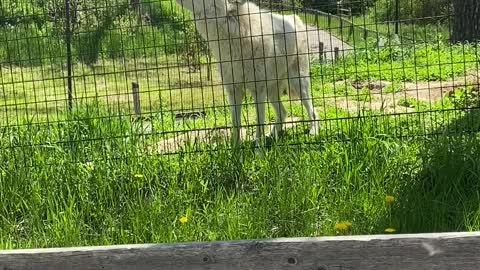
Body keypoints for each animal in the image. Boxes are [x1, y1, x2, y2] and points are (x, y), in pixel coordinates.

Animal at [175, 0, 318, 144]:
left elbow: (259, 123)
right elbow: (235, 123)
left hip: (298, 85)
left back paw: (313, 132)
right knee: (283, 113)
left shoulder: (258, 91)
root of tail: (294, 18)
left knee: (312, 111)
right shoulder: (234, 91)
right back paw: (271, 136)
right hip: (271, 93)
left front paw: (259, 149)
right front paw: (236, 148)